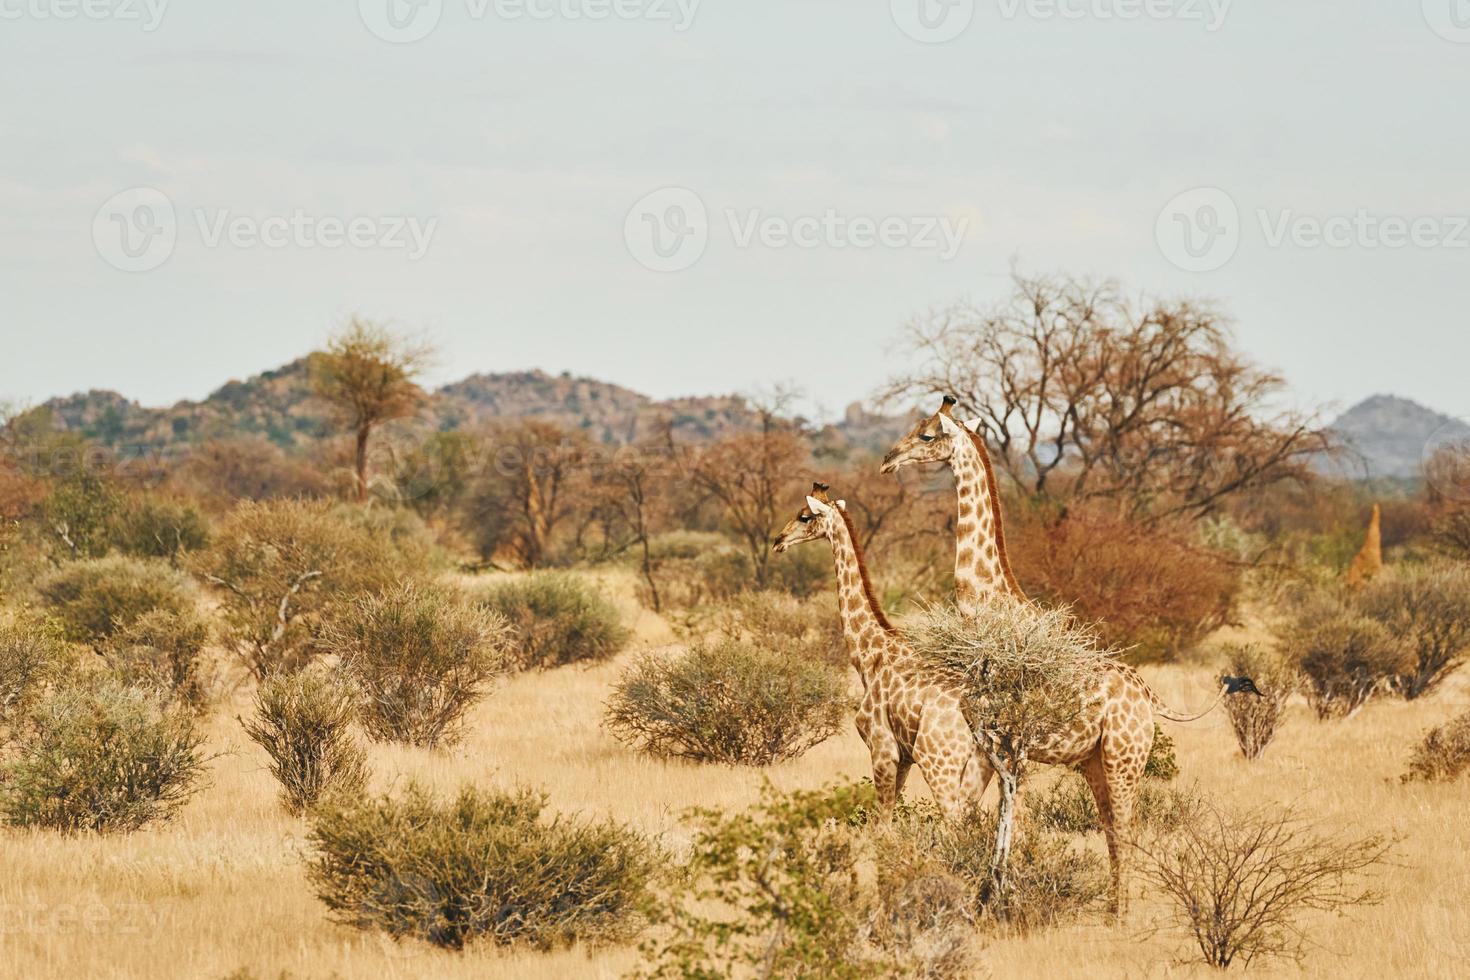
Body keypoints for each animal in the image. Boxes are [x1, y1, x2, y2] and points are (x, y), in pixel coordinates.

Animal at [770, 478, 1252, 916]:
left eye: (805, 515)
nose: (777, 541)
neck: (870, 654)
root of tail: (1148, 692)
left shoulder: (884, 748)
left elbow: (883, 830)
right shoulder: (905, 756)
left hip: (1036, 759)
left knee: (1107, 826)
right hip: (1070, 762)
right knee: (1104, 827)